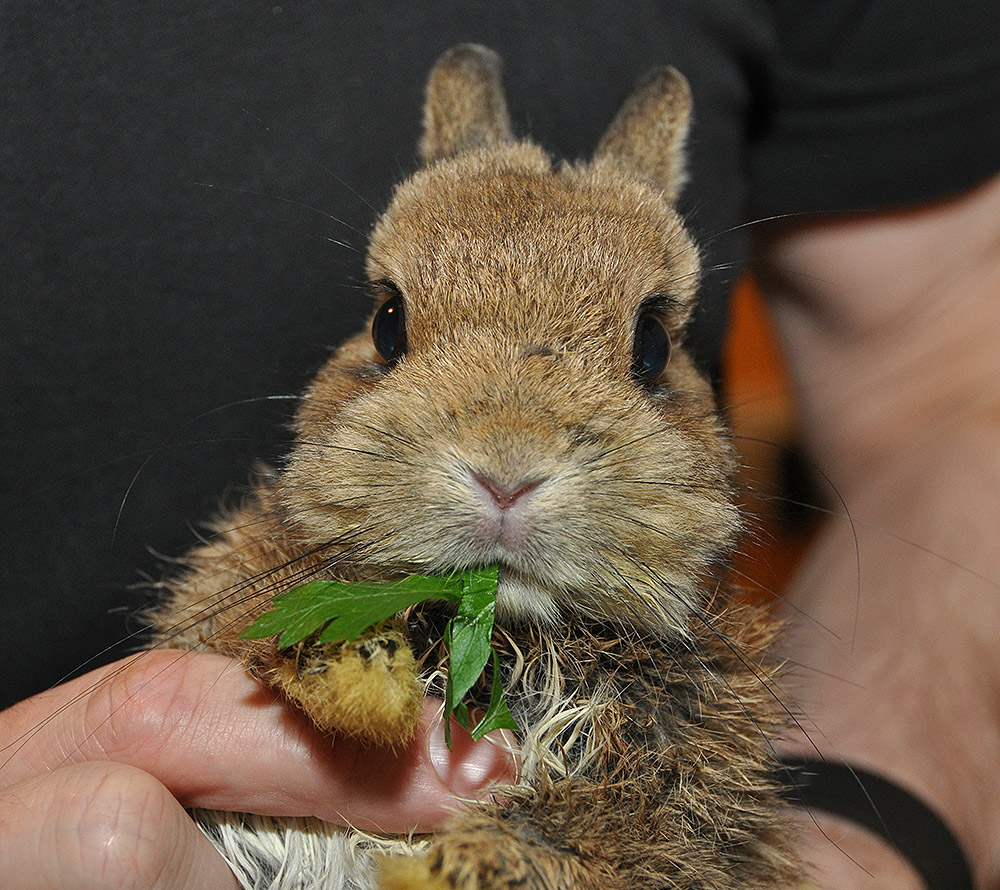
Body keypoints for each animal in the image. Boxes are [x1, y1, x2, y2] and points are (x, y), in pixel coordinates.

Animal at [146, 45, 804, 888]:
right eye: (387, 323)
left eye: (654, 345)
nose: (506, 472)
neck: (507, 631)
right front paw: (360, 686)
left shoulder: (676, 796)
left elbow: (589, 837)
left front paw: (446, 863)